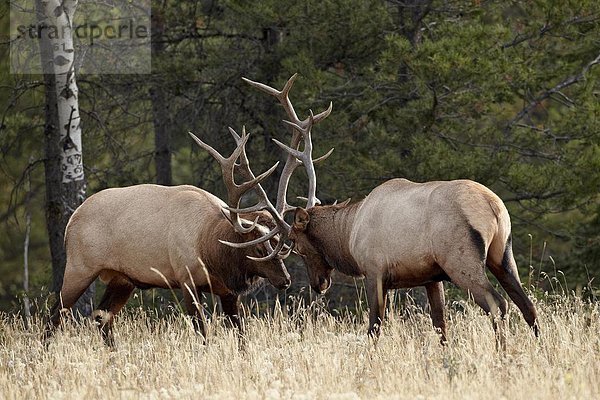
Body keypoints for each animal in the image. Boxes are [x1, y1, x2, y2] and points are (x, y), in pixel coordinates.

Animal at [42, 126, 292, 346]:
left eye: (279, 244)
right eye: (259, 248)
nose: (285, 280)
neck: (209, 248)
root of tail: (71, 222)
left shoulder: (228, 291)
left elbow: (241, 335)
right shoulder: (186, 280)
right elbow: (202, 332)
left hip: (122, 278)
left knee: (101, 316)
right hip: (80, 267)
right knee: (55, 314)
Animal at [243, 73, 540, 342]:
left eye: (297, 245)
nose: (319, 285)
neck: (348, 234)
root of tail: (493, 207)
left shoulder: (374, 271)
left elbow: (374, 326)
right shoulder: (431, 277)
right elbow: (440, 324)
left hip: (461, 260)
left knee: (498, 305)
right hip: (502, 254)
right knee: (528, 306)